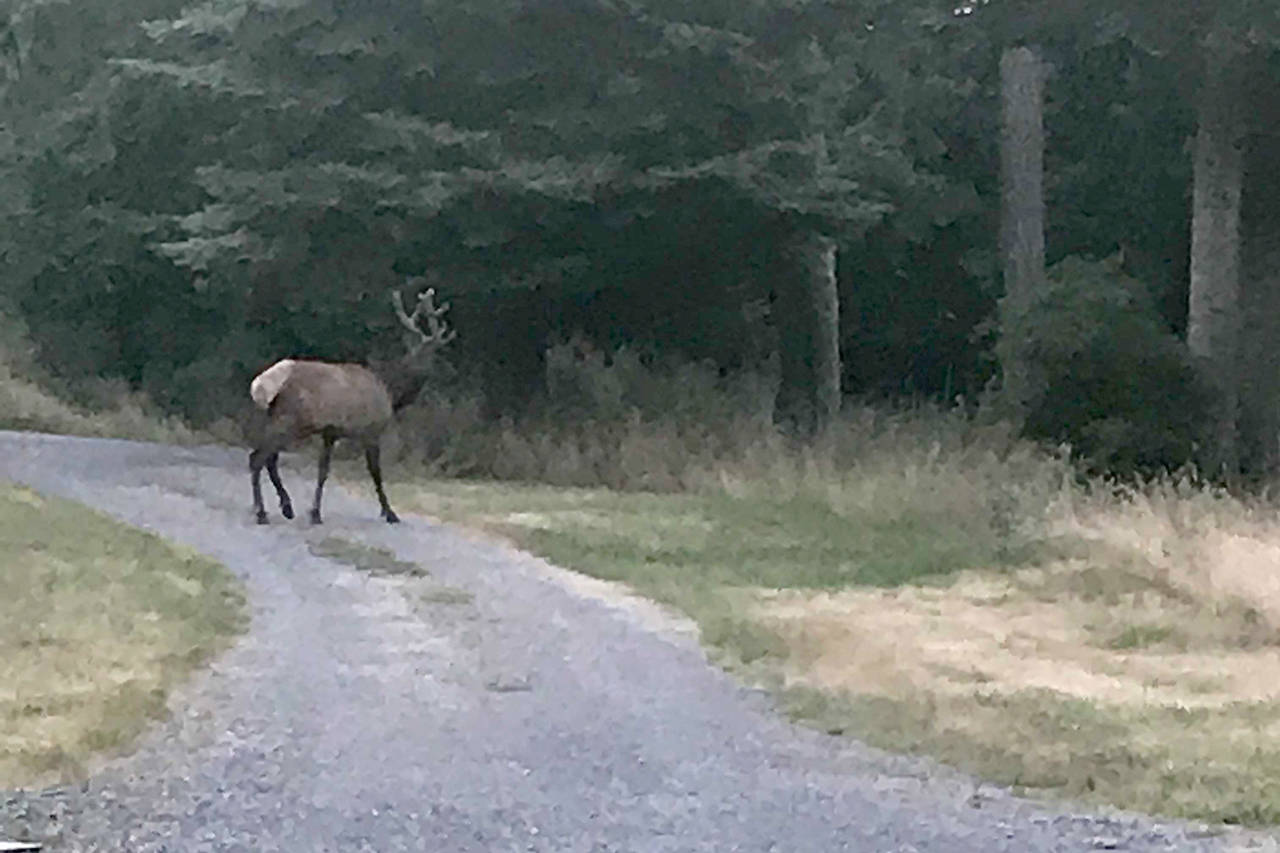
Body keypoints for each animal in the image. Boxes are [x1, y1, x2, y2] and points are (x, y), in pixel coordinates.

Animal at [247, 285, 453, 525]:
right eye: (434, 353)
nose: (445, 372)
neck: (391, 392)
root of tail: (260, 384)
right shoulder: (371, 430)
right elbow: (376, 473)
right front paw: (390, 512)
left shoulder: (330, 433)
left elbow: (323, 471)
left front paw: (315, 513)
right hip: (289, 420)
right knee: (258, 458)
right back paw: (262, 513)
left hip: (277, 419)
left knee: (268, 459)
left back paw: (286, 508)